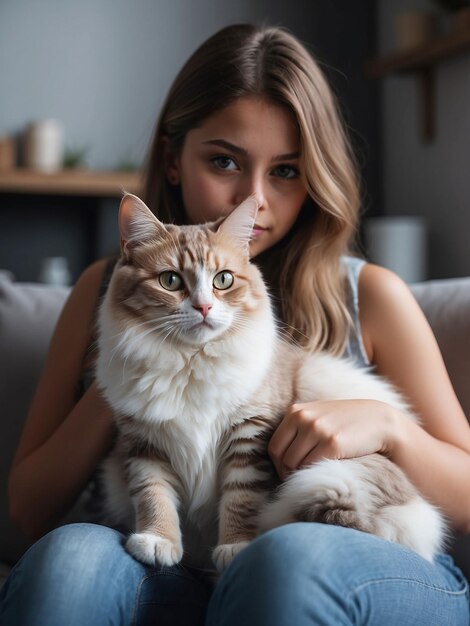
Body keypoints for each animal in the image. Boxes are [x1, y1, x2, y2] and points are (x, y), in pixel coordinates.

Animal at [94, 191, 444, 572]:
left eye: (223, 280)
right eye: (170, 281)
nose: (203, 308)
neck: (190, 362)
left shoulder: (249, 436)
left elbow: (241, 501)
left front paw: (236, 547)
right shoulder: (144, 443)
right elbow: (153, 496)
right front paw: (158, 541)